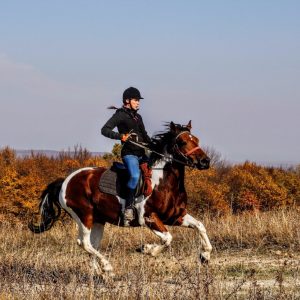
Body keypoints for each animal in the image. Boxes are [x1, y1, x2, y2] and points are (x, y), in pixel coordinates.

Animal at [28, 120, 211, 276]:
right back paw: (107, 267)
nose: (205, 162)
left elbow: (200, 226)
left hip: (98, 220)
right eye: (183, 142)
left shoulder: (176, 216)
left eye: (196, 140)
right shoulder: (149, 218)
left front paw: (205, 256)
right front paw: (147, 249)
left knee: (91, 244)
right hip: (84, 216)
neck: (164, 181)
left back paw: (99, 272)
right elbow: (168, 238)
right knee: (84, 242)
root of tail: (65, 181)